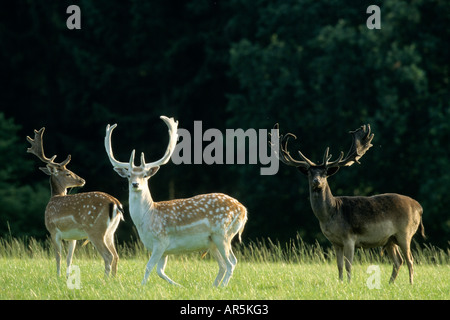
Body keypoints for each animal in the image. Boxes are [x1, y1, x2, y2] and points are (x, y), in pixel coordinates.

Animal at [27, 127, 124, 278]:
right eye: (68, 173)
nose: (82, 180)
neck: (54, 197)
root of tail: (115, 204)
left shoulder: (53, 230)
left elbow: (58, 256)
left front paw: (58, 276)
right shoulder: (72, 237)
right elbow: (69, 258)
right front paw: (67, 277)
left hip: (95, 229)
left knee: (108, 256)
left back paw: (105, 279)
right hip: (110, 231)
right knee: (116, 256)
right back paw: (114, 279)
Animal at [104, 116, 248, 286]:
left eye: (145, 175)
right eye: (128, 176)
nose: (135, 184)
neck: (147, 218)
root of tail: (243, 210)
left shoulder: (161, 240)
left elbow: (148, 267)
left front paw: (141, 286)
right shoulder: (165, 250)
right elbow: (160, 271)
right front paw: (179, 285)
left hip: (223, 233)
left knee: (231, 262)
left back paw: (223, 286)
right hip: (212, 241)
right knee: (223, 265)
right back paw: (214, 287)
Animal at [270, 124, 426, 284]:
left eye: (325, 173)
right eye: (309, 172)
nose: (316, 181)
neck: (330, 215)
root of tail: (419, 207)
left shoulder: (349, 237)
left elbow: (348, 264)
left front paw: (349, 283)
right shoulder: (335, 241)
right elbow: (339, 265)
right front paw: (340, 282)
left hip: (405, 232)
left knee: (410, 260)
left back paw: (411, 283)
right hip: (390, 239)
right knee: (398, 260)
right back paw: (390, 283)